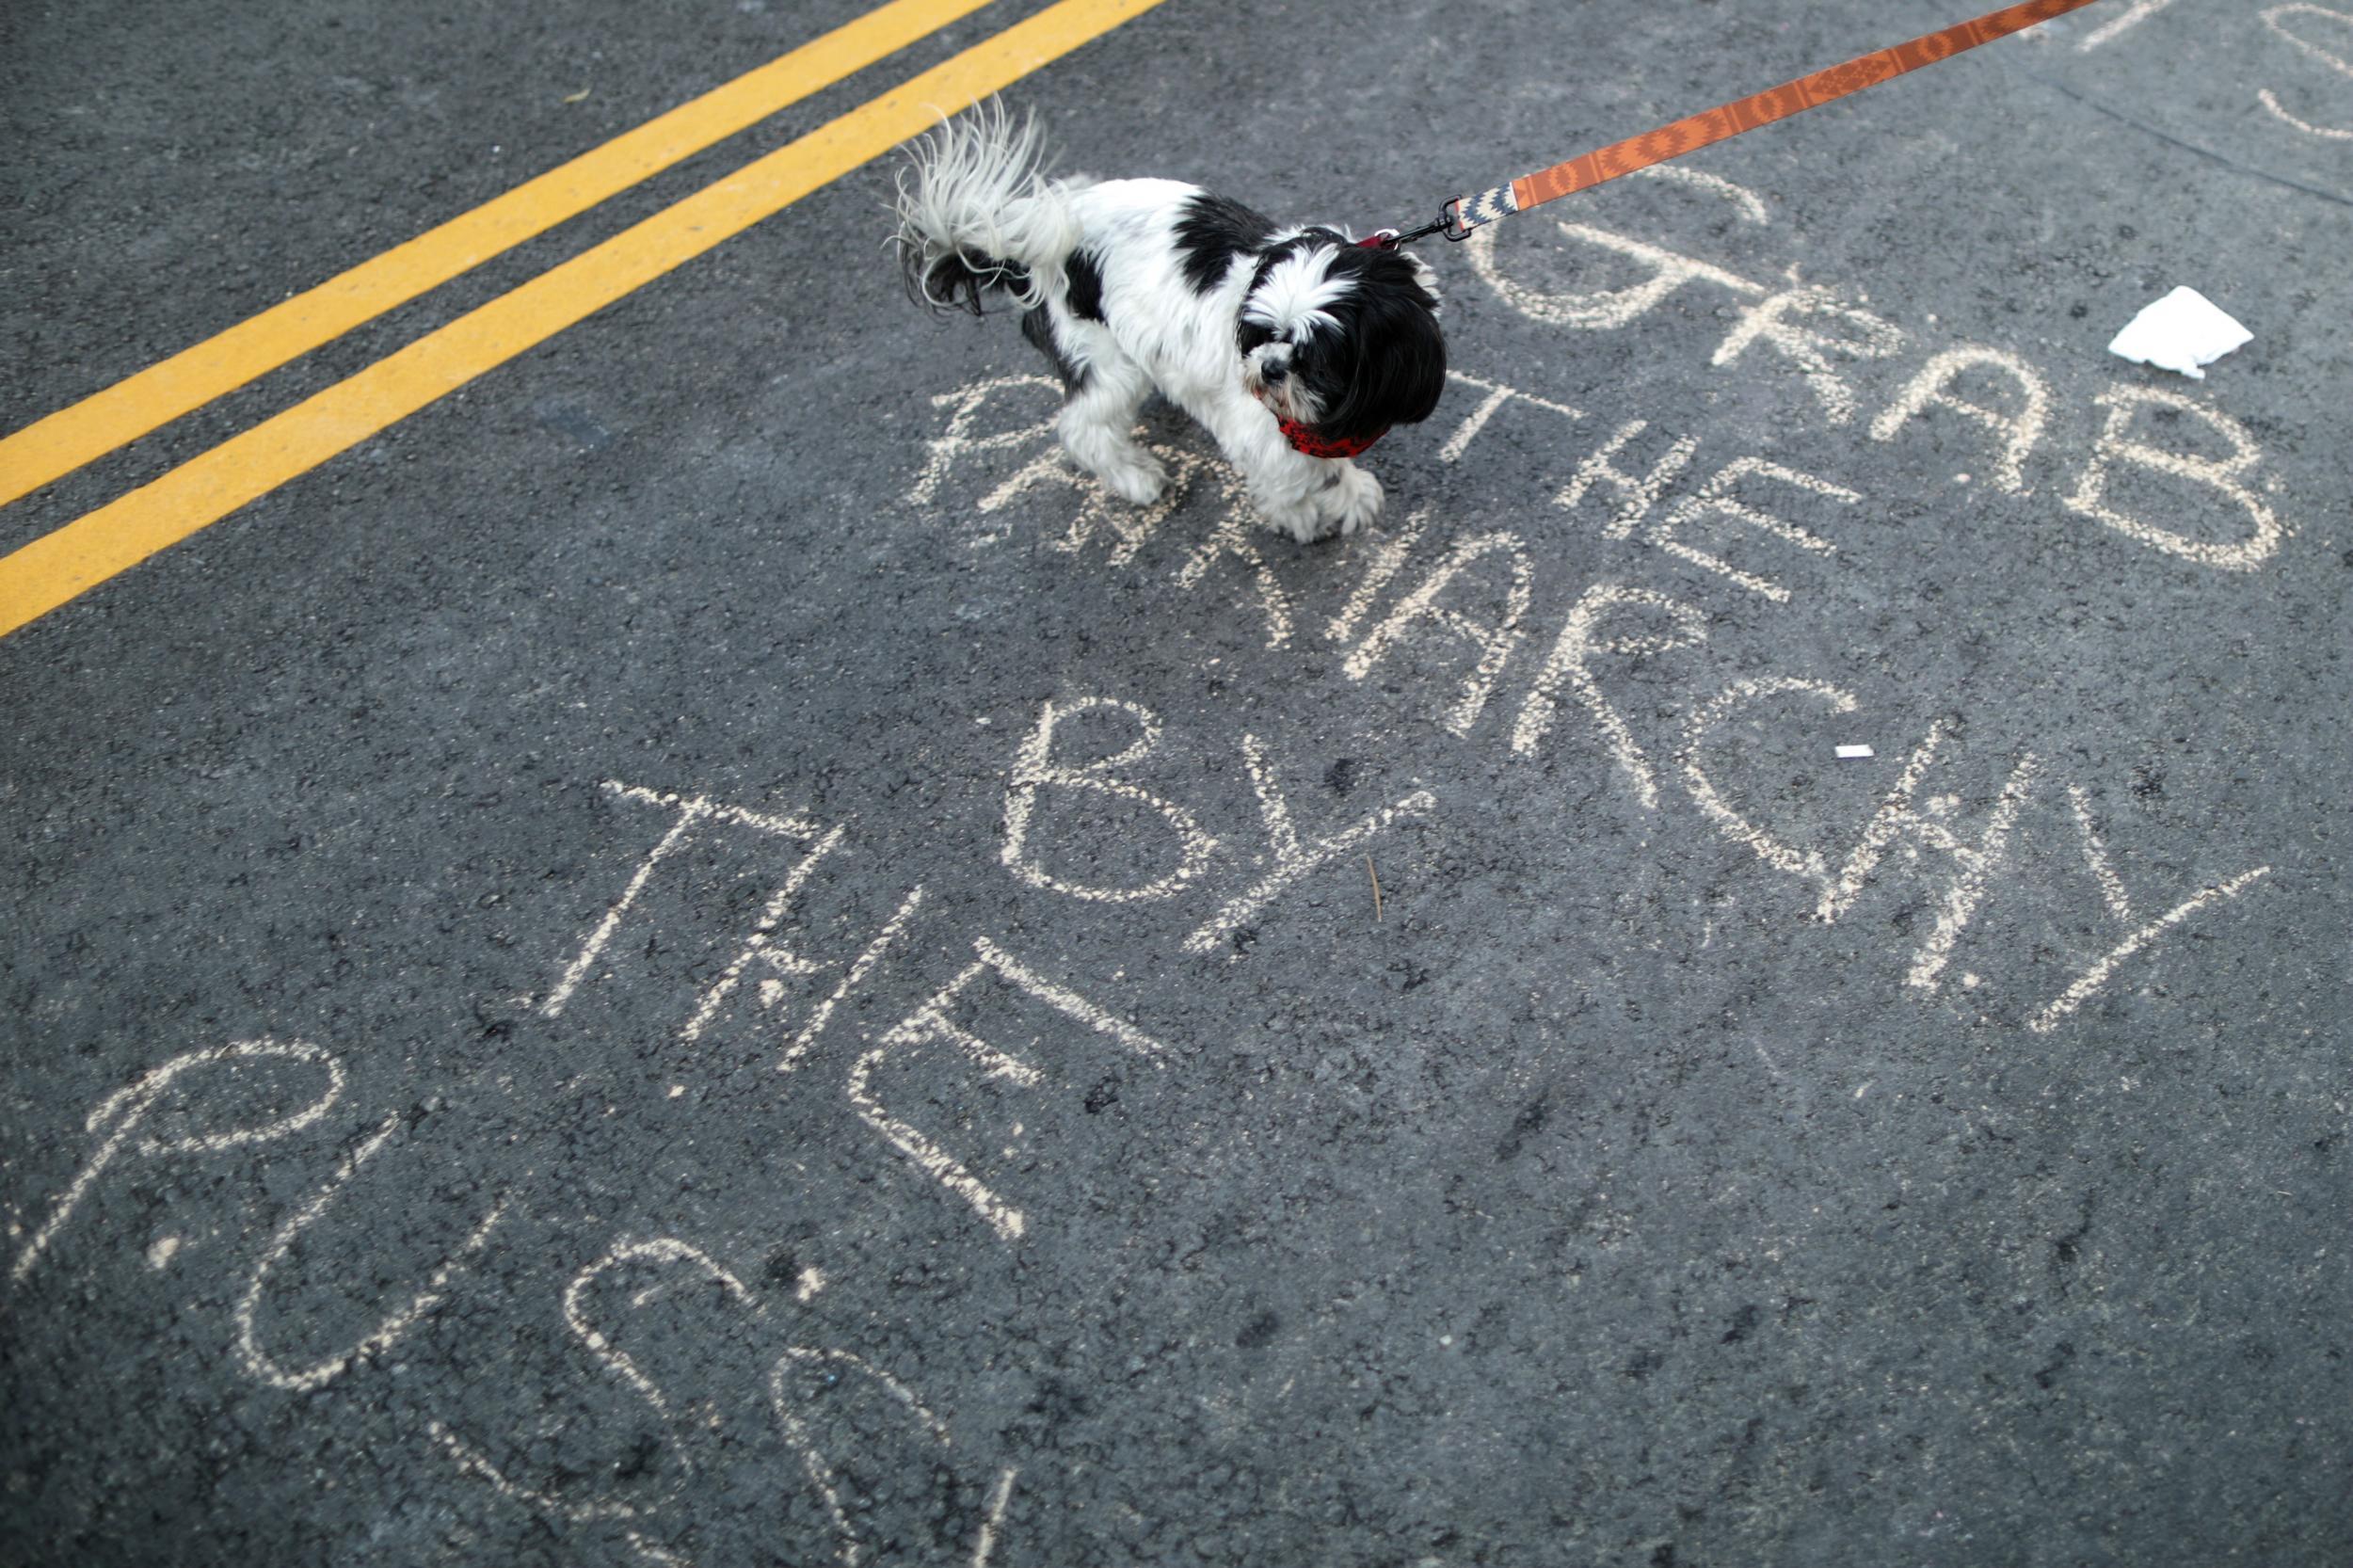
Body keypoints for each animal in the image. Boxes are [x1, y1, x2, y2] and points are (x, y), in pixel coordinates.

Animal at [889, 106, 1440, 541]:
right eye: (1262, 335)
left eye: (1320, 362)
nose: (1271, 368)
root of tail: (1031, 244)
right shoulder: (1260, 425)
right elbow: (1299, 473)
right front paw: (1313, 509)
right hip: (1104, 358)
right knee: (1082, 429)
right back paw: (1134, 476)